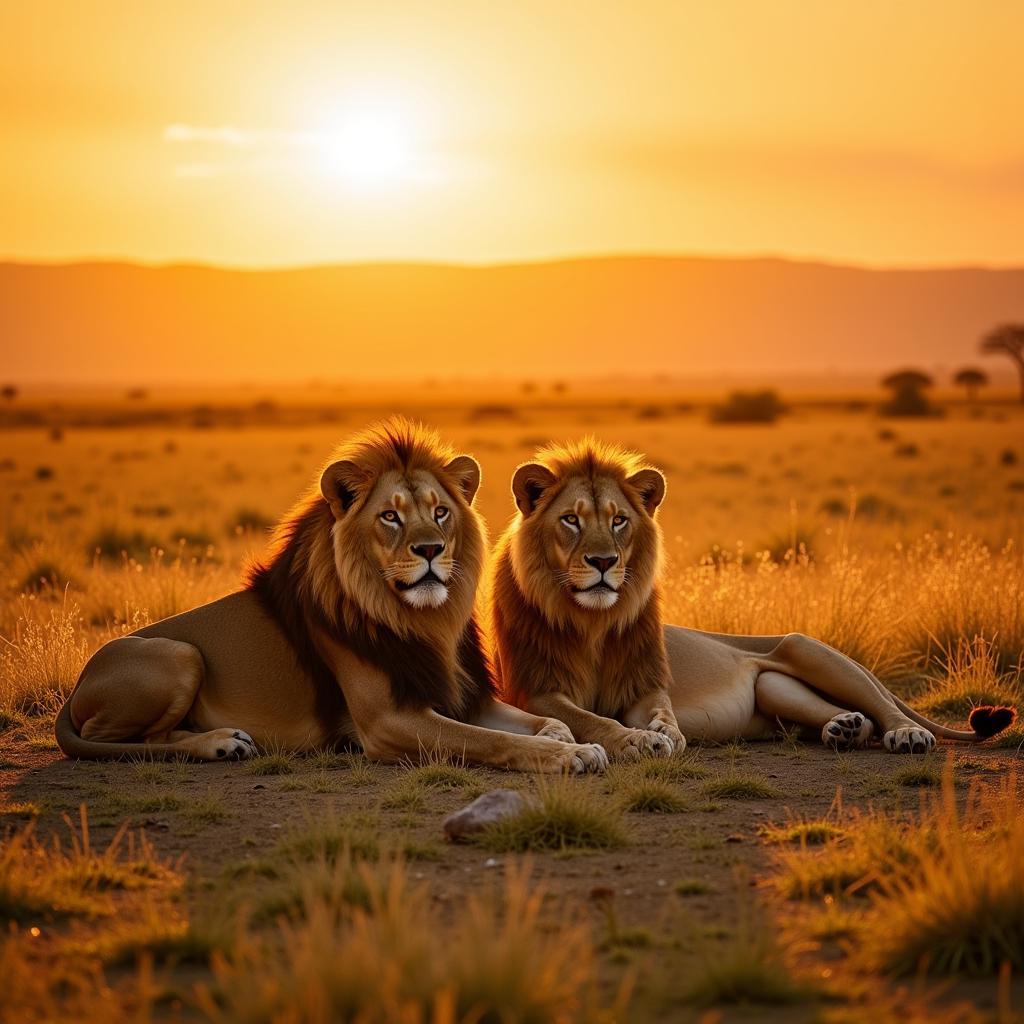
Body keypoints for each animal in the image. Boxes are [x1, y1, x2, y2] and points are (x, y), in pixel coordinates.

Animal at [54, 419, 606, 770]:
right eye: (390, 516)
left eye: (440, 512)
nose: (430, 549)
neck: (426, 620)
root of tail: (80, 683)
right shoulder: (388, 721)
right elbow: (491, 742)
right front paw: (572, 754)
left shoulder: (464, 695)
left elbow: (537, 721)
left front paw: (564, 736)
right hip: (179, 654)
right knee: (131, 742)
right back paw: (219, 743)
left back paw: (229, 742)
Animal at [489, 436, 1015, 757]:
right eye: (571, 520)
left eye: (618, 520)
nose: (603, 561)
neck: (594, 621)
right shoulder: (538, 691)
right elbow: (590, 719)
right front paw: (637, 741)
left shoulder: (643, 686)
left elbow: (661, 709)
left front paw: (665, 732)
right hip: (774, 687)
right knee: (851, 716)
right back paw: (843, 729)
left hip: (805, 647)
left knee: (883, 707)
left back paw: (906, 733)